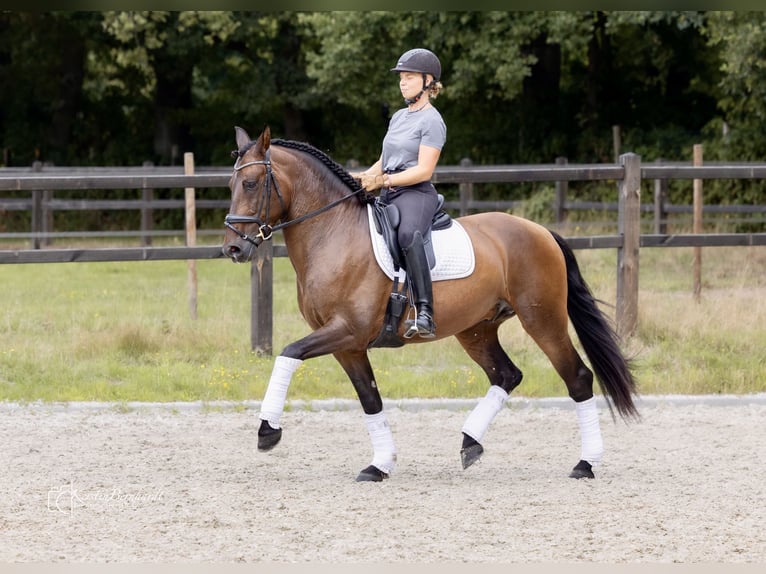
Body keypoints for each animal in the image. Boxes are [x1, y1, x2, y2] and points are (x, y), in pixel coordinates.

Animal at [222, 125, 639, 482]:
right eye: (230, 184)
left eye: (251, 183)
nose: (233, 249)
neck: (333, 233)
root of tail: (541, 232)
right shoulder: (348, 345)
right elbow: (369, 398)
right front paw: (380, 465)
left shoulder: (347, 331)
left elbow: (288, 353)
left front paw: (267, 430)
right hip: (477, 329)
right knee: (506, 375)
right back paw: (471, 443)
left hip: (542, 319)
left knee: (577, 377)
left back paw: (585, 463)